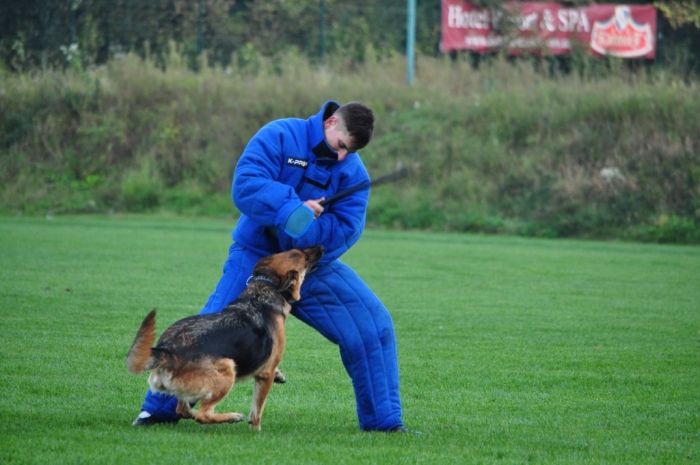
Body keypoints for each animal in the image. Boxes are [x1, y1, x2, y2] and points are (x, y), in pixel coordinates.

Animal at [126, 245, 322, 430]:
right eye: (305, 258)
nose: (321, 246)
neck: (266, 286)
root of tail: (167, 351)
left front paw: (279, 374)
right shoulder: (265, 376)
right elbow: (257, 411)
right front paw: (256, 431)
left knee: (184, 410)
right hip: (227, 371)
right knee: (204, 414)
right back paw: (232, 416)